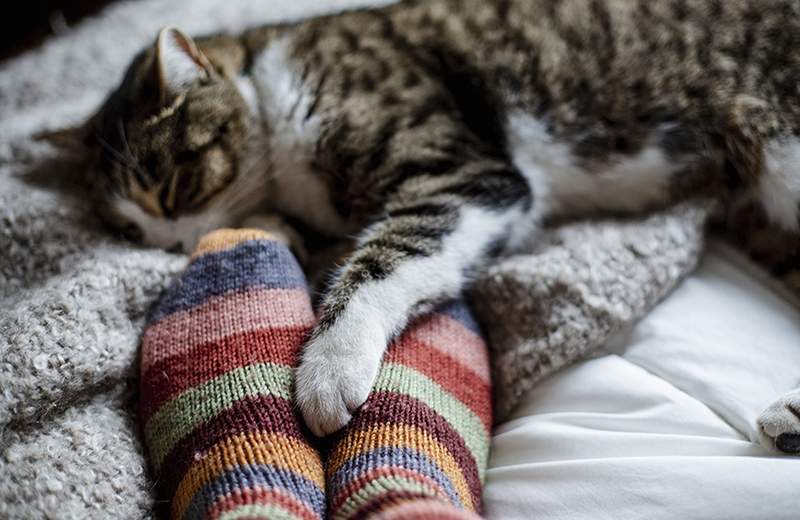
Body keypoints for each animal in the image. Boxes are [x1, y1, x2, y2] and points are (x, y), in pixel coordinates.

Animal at [83, 0, 800, 448]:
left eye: (169, 189)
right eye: (131, 234)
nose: (179, 250)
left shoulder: (467, 177)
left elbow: (385, 255)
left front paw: (329, 367)